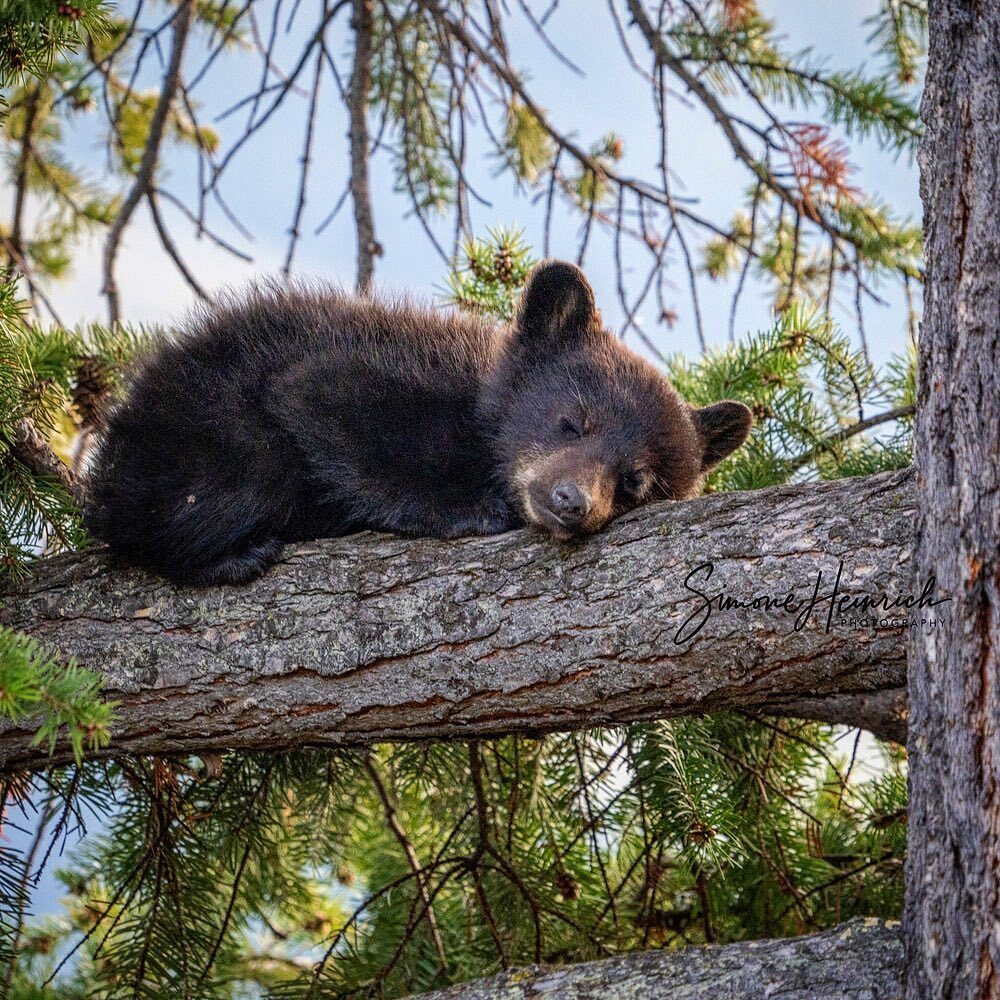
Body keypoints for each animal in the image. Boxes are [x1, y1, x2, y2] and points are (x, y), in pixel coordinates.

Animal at [84, 260, 752, 584]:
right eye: (571, 421)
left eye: (637, 481)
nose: (571, 501)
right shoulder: (370, 370)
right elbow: (319, 404)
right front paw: (475, 509)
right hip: (210, 439)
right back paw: (235, 557)